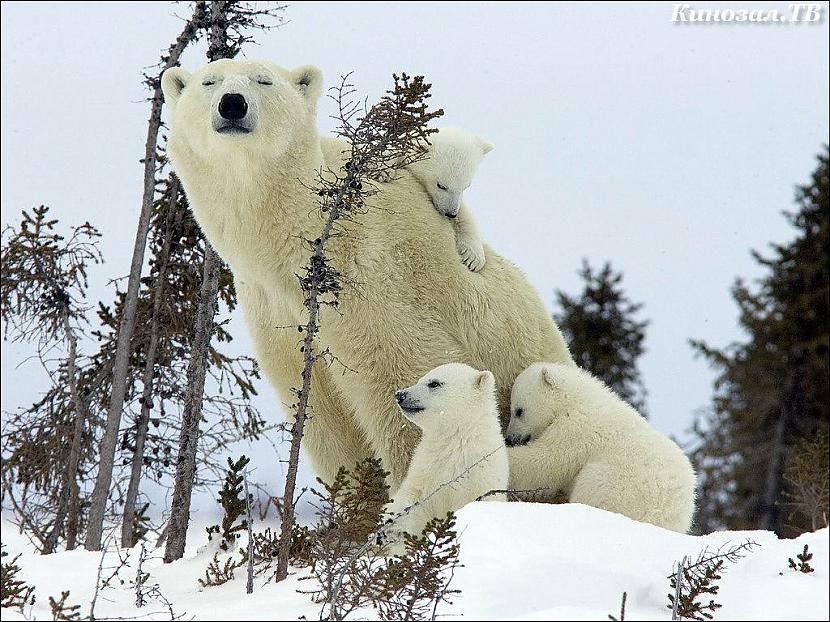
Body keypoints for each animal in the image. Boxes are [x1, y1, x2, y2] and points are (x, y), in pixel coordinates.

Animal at [386, 364, 510, 540]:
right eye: (419, 379)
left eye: (434, 383)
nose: (400, 394)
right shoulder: (426, 469)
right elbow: (412, 498)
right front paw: (391, 528)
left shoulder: (482, 476)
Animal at [508, 364, 696, 532]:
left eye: (518, 411)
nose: (510, 438)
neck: (576, 399)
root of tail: (659, 516)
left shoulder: (577, 429)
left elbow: (546, 462)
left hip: (615, 484)